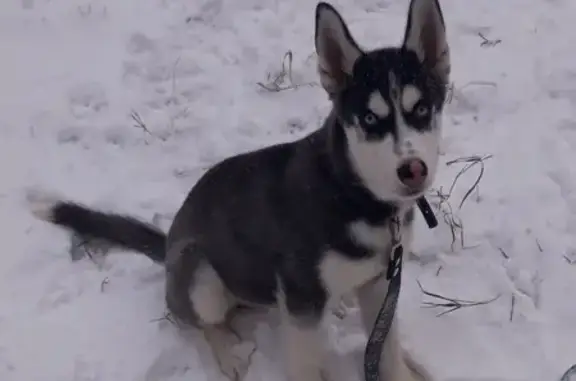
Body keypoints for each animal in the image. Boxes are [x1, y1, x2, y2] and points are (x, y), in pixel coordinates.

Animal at [27, 1, 450, 378]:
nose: (413, 170)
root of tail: (168, 246)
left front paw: (404, 367)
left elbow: (387, 349)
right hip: (201, 276)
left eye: (421, 109)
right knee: (201, 322)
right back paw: (228, 352)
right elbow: (308, 365)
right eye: (369, 119)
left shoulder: (380, 285)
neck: (355, 194)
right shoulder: (302, 300)